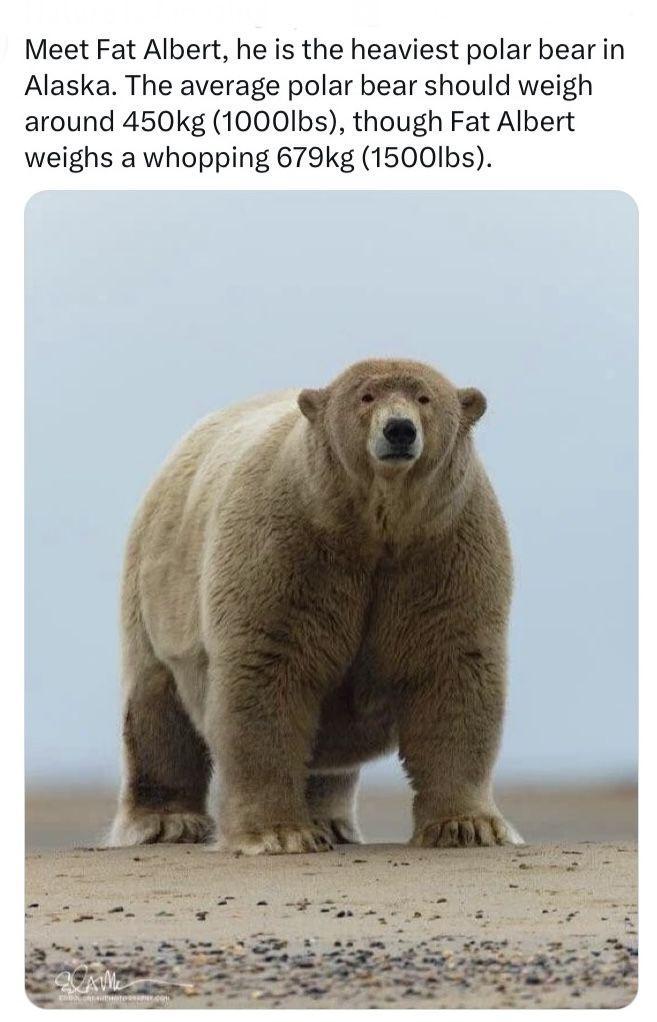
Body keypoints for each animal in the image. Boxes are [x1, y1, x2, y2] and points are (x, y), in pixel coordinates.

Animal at [109, 358, 522, 853]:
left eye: (425, 397)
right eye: (365, 396)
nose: (400, 430)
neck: (374, 528)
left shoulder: (444, 550)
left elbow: (452, 669)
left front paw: (468, 826)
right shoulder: (287, 546)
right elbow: (269, 670)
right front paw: (278, 833)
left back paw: (332, 822)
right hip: (156, 588)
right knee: (156, 704)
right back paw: (167, 822)